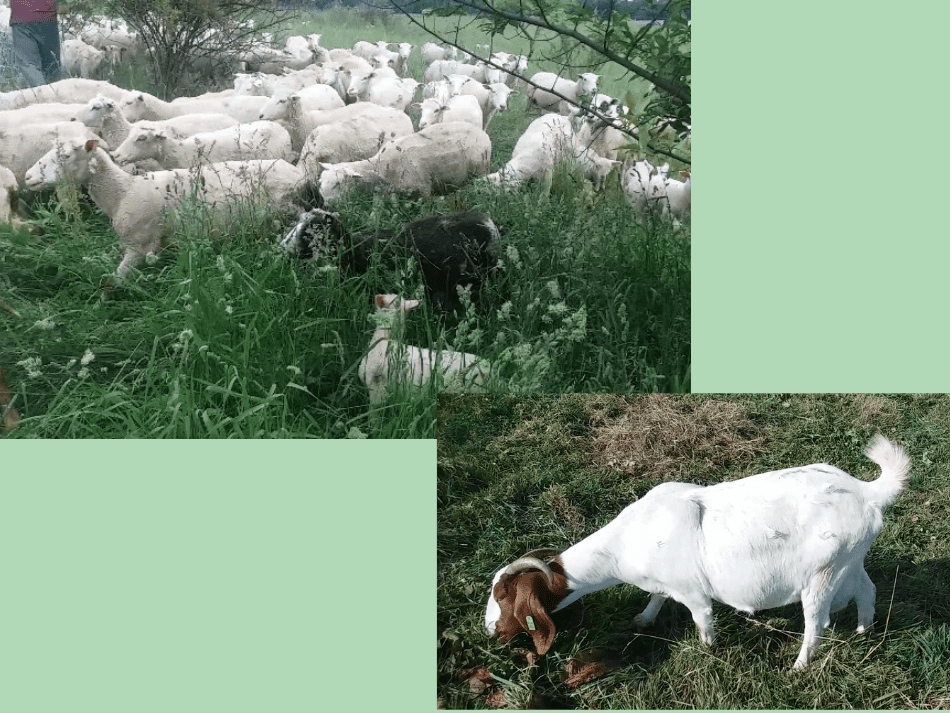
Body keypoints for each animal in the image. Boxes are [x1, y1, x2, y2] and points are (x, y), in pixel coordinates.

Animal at [320, 121, 494, 202]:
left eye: (338, 184)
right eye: (320, 183)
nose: (327, 204)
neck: (380, 166)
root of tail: (483, 133)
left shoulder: (423, 190)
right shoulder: (394, 192)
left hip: (479, 170)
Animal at [488, 432, 912, 672]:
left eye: (503, 597)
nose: (490, 630)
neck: (628, 542)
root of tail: (867, 492)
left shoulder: (693, 592)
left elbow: (702, 622)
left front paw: (709, 654)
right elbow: (656, 597)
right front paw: (643, 619)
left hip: (822, 574)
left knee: (817, 624)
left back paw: (798, 667)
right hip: (851, 561)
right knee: (867, 590)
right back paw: (863, 631)